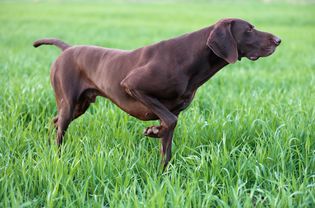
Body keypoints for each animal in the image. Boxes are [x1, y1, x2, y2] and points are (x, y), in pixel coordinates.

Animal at [34, 17, 282, 167]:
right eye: (249, 29)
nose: (279, 40)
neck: (190, 59)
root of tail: (67, 49)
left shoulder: (172, 111)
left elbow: (168, 138)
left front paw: (163, 173)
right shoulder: (132, 85)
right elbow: (170, 121)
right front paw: (152, 131)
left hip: (79, 105)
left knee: (54, 120)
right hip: (70, 103)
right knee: (60, 128)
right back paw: (56, 157)